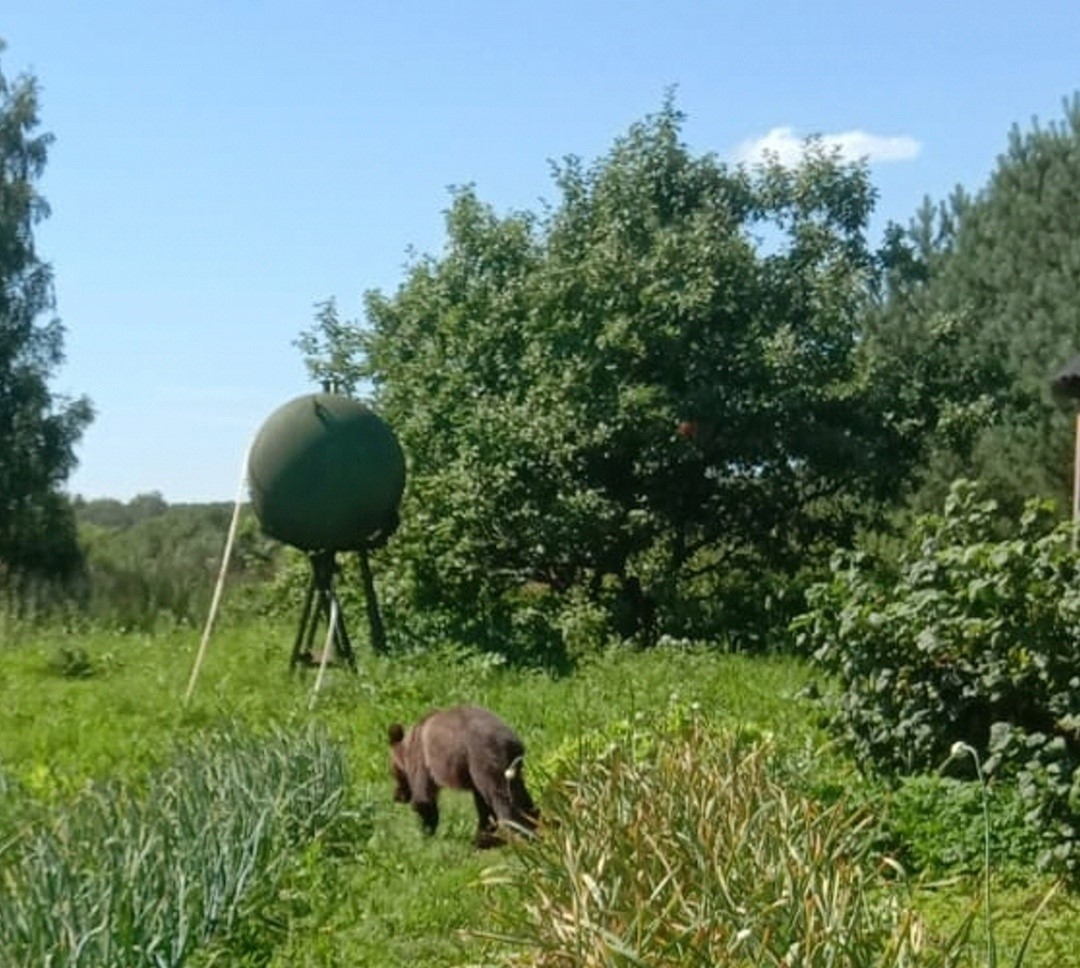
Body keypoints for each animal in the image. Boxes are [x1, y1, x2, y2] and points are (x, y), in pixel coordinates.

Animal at [390, 704, 537, 847]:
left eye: (393, 772)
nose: (397, 797)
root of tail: (512, 741)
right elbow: (482, 805)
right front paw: (483, 836)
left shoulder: (423, 759)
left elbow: (424, 799)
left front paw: (425, 833)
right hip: (508, 768)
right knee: (519, 795)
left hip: (484, 757)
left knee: (501, 798)